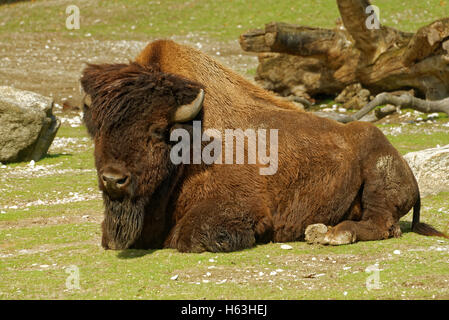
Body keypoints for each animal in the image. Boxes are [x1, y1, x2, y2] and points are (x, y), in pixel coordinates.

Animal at [79, 39, 446, 252]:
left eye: (157, 130)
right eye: (98, 128)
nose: (113, 179)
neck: (193, 135)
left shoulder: (238, 209)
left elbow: (189, 237)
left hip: (377, 180)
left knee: (382, 224)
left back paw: (326, 234)